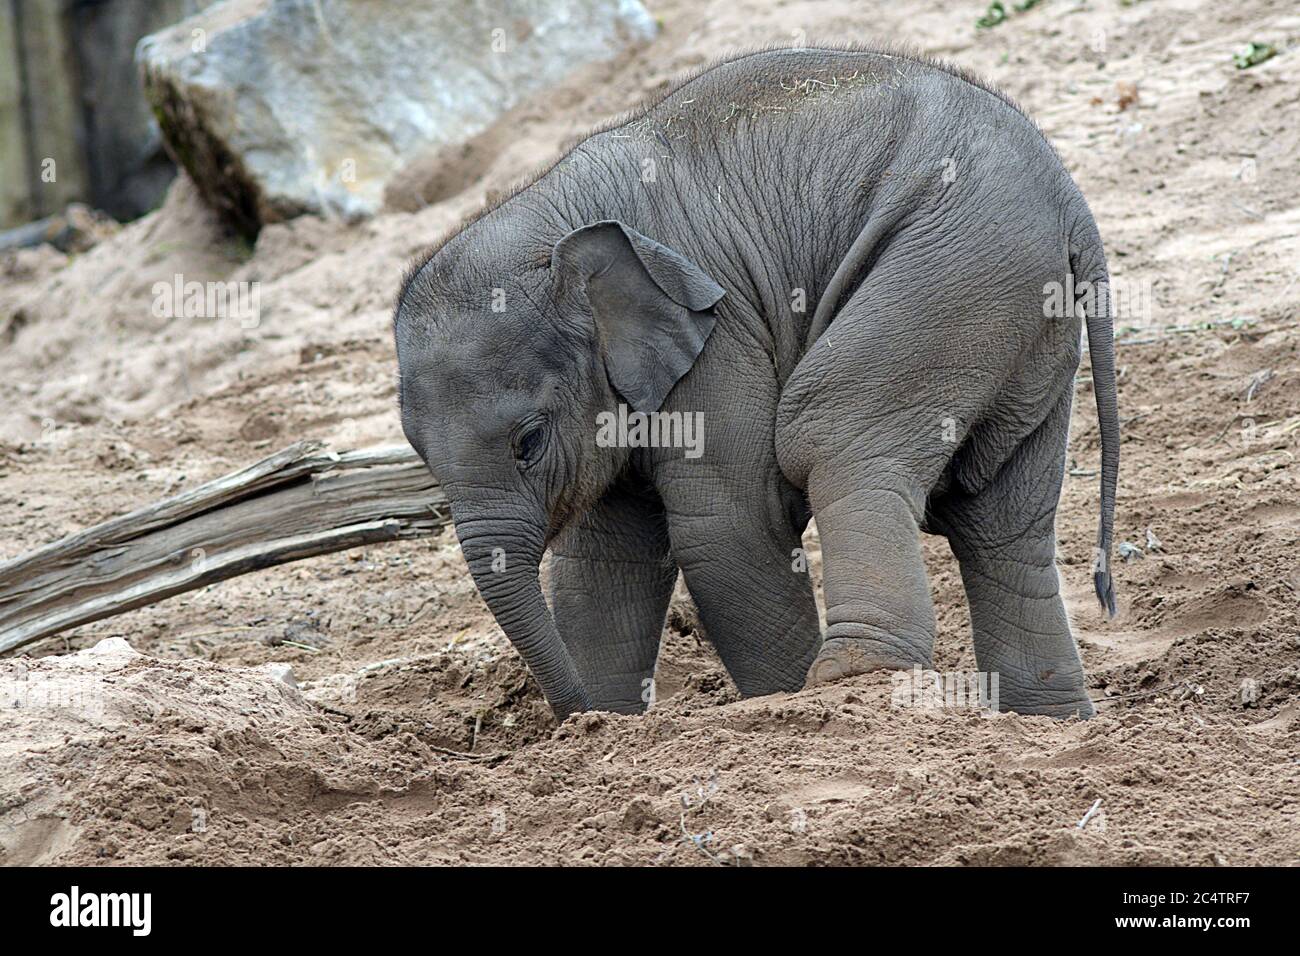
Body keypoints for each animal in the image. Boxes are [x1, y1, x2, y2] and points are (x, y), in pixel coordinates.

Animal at [392, 42, 1118, 717]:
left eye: (530, 441)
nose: (571, 711)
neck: (552, 221)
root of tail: (1074, 207)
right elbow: (605, 558)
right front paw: (605, 725)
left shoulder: (722, 335)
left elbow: (727, 527)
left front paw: (778, 699)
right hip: (1026, 325)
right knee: (1001, 522)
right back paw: (1048, 721)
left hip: (954, 274)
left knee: (831, 435)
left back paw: (854, 675)